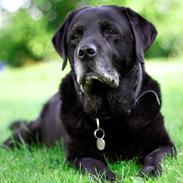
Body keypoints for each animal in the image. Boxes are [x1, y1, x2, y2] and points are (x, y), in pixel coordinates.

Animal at [3, 5, 176, 182]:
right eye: (75, 36)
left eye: (110, 30)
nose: (85, 52)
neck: (110, 113)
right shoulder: (76, 155)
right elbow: (93, 164)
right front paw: (107, 177)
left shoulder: (165, 144)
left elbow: (156, 156)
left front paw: (149, 171)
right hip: (26, 132)